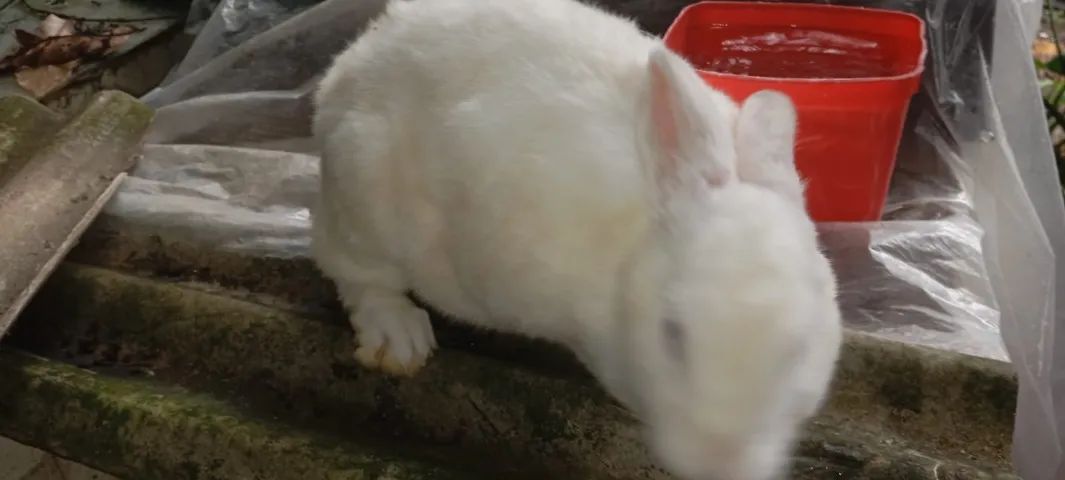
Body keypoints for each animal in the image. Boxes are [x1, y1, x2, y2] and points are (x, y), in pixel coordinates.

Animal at [310, 0, 843, 478]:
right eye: (672, 334)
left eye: (797, 351)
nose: (719, 464)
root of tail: (349, 66)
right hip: (364, 193)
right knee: (349, 268)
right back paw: (398, 340)